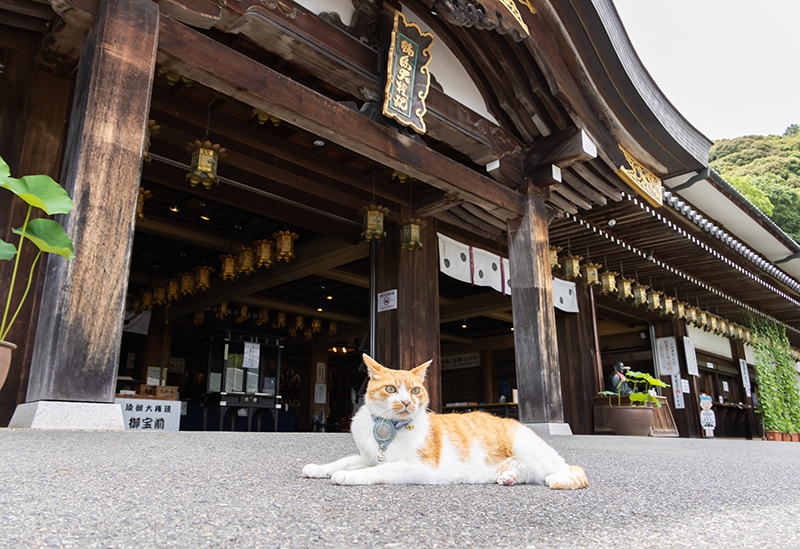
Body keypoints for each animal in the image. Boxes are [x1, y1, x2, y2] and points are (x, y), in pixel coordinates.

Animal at [300, 356, 588, 488]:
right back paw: (508, 475)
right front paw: (319, 468)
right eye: (391, 389)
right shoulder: (368, 455)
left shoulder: (417, 467)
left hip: (529, 449)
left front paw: (348, 475)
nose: (407, 402)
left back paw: (555, 478)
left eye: (415, 390)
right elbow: (344, 460)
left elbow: (375, 471)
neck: (386, 427)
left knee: (566, 469)